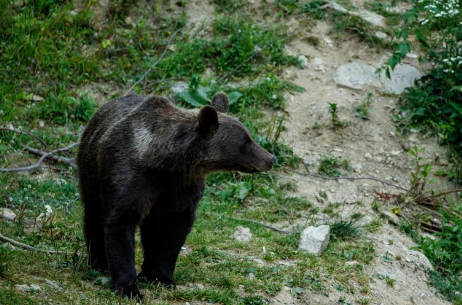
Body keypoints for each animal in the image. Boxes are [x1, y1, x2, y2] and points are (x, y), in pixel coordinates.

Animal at [77, 92, 276, 296]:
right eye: (246, 141)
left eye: (249, 137)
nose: (271, 158)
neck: (168, 166)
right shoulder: (130, 176)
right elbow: (121, 222)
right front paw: (129, 288)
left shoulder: (182, 188)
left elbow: (173, 231)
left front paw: (163, 278)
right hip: (91, 171)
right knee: (94, 214)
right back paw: (99, 263)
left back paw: (146, 272)